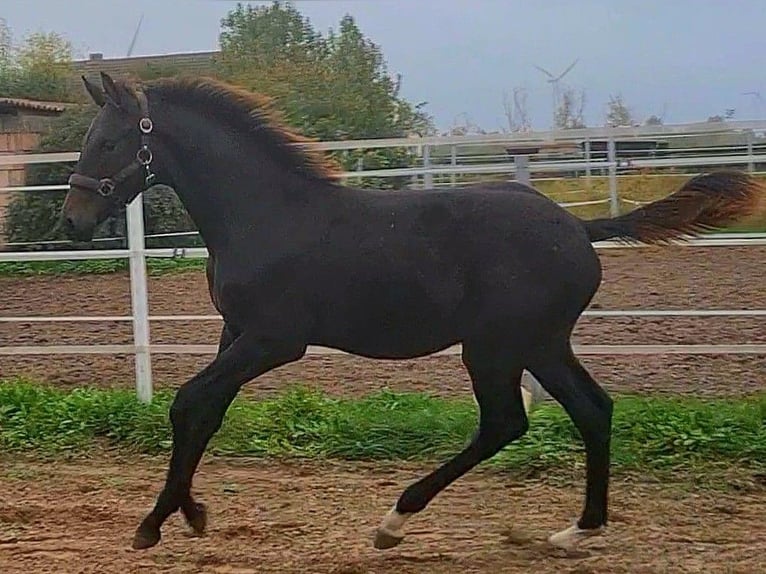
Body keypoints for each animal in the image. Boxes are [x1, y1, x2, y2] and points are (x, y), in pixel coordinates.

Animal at [60, 71, 763, 553]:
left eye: (111, 142)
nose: (71, 222)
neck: (264, 215)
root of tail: (582, 229)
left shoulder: (272, 339)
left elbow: (187, 402)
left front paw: (154, 524)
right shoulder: (236, 336)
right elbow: (204, 413)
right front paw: (191, 513)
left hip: (496, 348)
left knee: (506, 421)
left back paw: (395, 521)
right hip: (540, 345)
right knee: (592, 409)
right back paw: (577, 532)